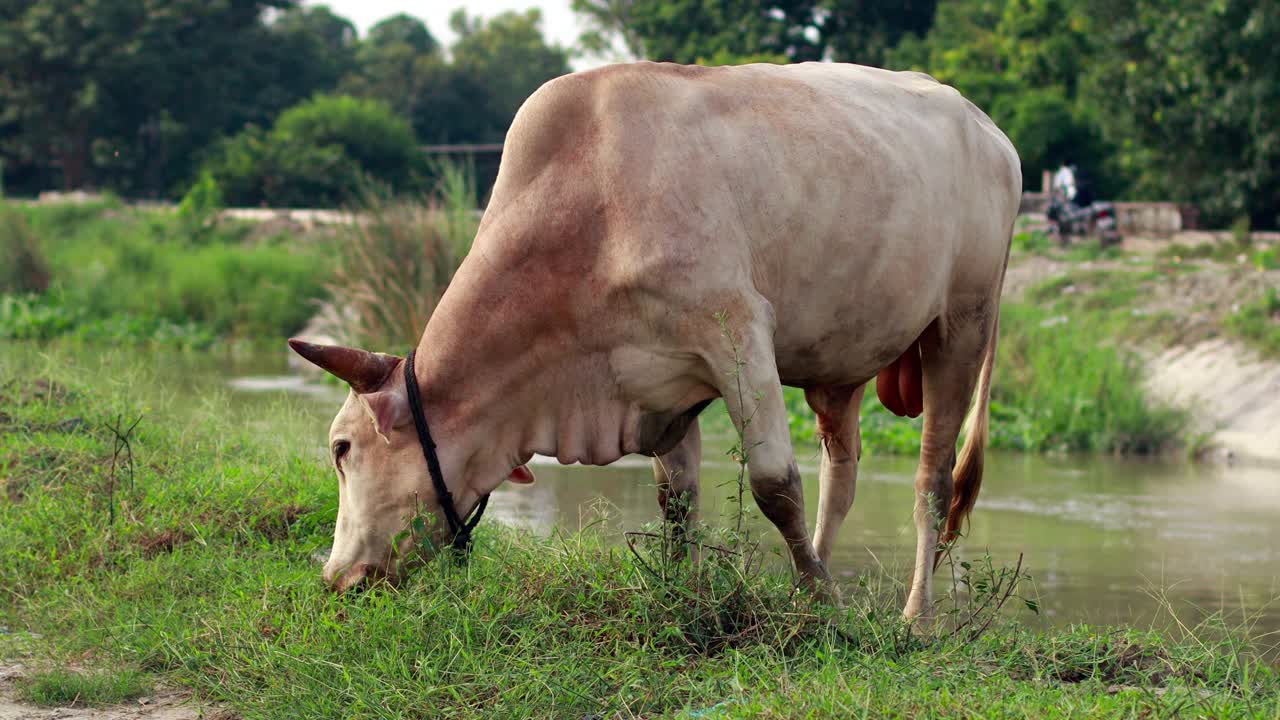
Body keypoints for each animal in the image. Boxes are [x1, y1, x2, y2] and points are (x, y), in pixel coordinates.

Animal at [290, 60, 1018, 617]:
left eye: (341, 448)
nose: (336, 578)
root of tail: (986, 127)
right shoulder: (661, 383)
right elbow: (678, 501)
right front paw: (687, 593)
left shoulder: (739, 333)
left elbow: (775, 486)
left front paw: (823, 607)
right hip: (841, 361)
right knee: (842, 473)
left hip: (963, 324)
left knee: (933, 480)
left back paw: (915, 617)